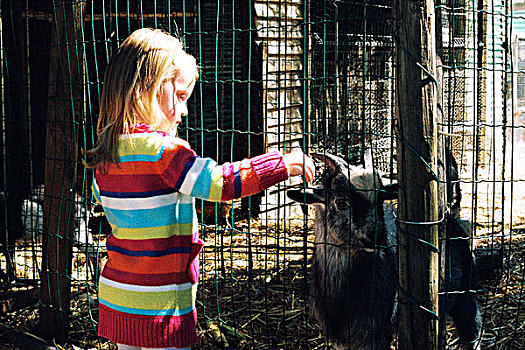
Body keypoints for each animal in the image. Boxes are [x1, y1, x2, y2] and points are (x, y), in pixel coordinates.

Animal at [286, 153, 478, 350]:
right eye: (339, 202)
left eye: (381, 200)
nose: (377, 235)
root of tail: (450, 217)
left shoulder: (375, 334)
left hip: (466, 291)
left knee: (471, 325)